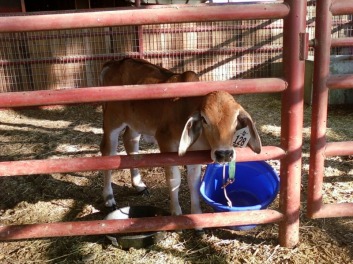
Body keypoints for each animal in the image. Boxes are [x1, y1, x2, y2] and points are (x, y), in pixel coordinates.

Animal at [99, 58, 262, 217]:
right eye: (204, 119)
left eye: (235, 120)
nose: (224, 154)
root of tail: (114, 63)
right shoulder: (166, 144)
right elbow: (174, 180)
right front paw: (176, 213)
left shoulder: (194, 155)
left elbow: (193, 181)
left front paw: (196, 215)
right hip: (112, 120)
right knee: (108, 152)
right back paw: (108, 198)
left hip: (136, 123)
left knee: (130, 142)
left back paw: (139, 185)